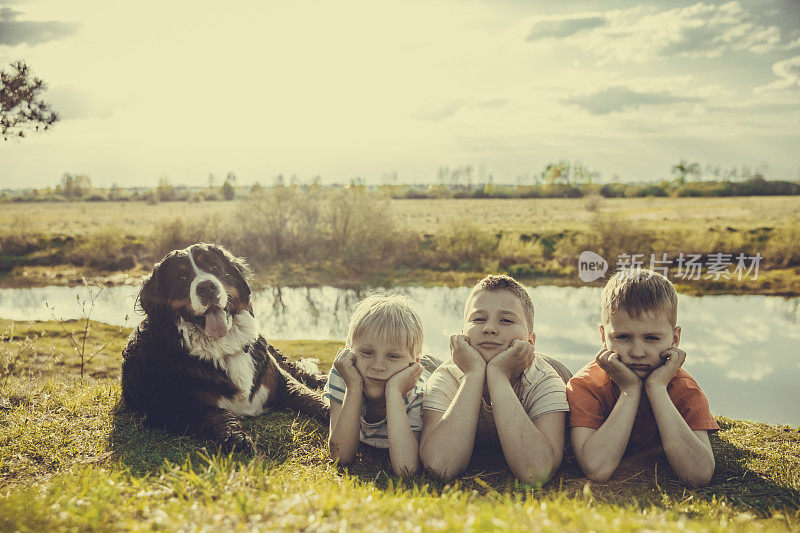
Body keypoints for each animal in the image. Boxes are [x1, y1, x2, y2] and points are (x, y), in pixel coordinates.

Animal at [122, 243, 328, 450]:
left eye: (213, 267)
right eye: (181, 277)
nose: (207, 287)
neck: (224, 348)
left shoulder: (278, 379)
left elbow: (309, 396)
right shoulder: (170, 404)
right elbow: (215, 415)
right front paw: (239, 436)